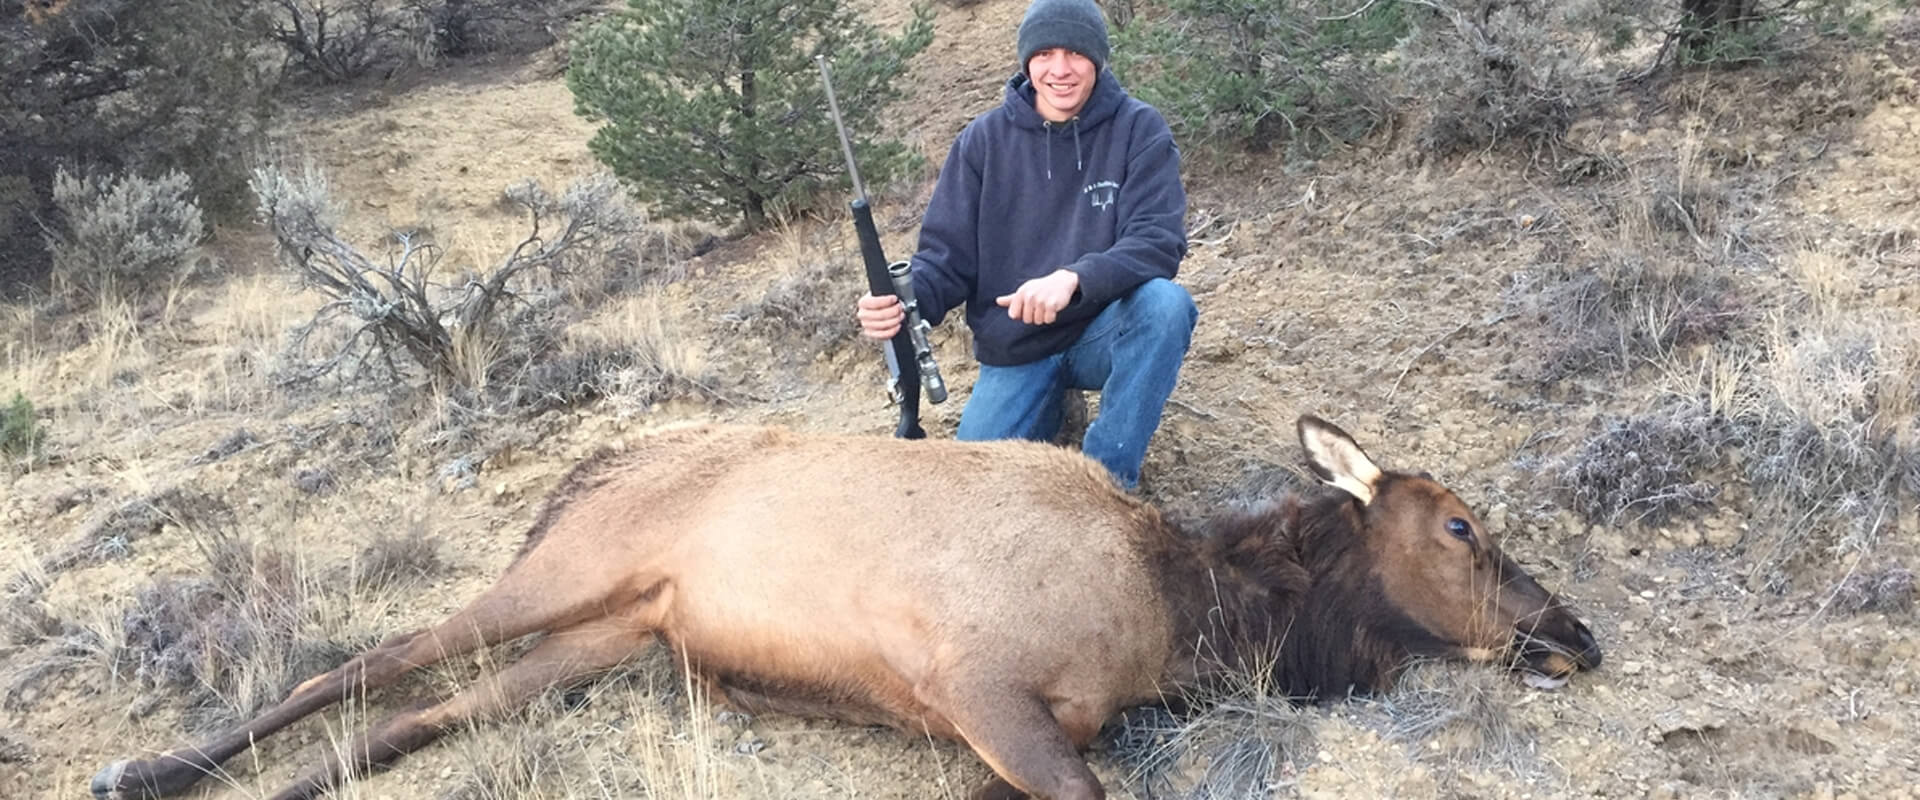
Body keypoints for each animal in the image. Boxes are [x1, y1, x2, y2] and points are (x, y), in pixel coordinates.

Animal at [93, 415, 1601, 800]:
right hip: (566, 568)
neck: (1185, 618)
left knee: (421, 713)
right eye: (1463, 526)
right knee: (359, 664)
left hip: (613, 631)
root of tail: (590, 467)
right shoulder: (987, 687)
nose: (1576, 632)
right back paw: (144, 768)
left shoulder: (1004, 730)